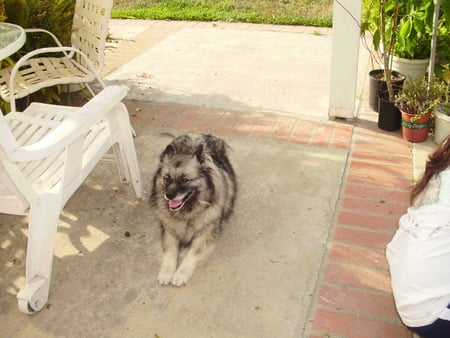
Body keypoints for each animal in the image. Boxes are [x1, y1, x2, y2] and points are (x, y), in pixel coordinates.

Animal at [151, 133, 237, 286]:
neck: (187, 215)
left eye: (185, 180)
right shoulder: (169, 231)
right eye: (167, 179)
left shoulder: (205, 234)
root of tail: (199, 135)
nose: (169, 195)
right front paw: (166, 273)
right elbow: (170, 252)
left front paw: (180, 274)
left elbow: (191, 254)